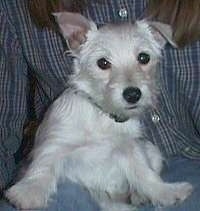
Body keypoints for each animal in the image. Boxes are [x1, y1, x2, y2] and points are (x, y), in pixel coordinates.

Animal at [5, 12, 193, 210]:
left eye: (143, 58)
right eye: (103, 63)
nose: (133, 94)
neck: (103, 115)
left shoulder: (131, 147)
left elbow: (145, 173)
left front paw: (166, 191)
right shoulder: (56, 143)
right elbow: (43, 164)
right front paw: (30, 191)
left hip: (152, 150)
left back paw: (137, 196)